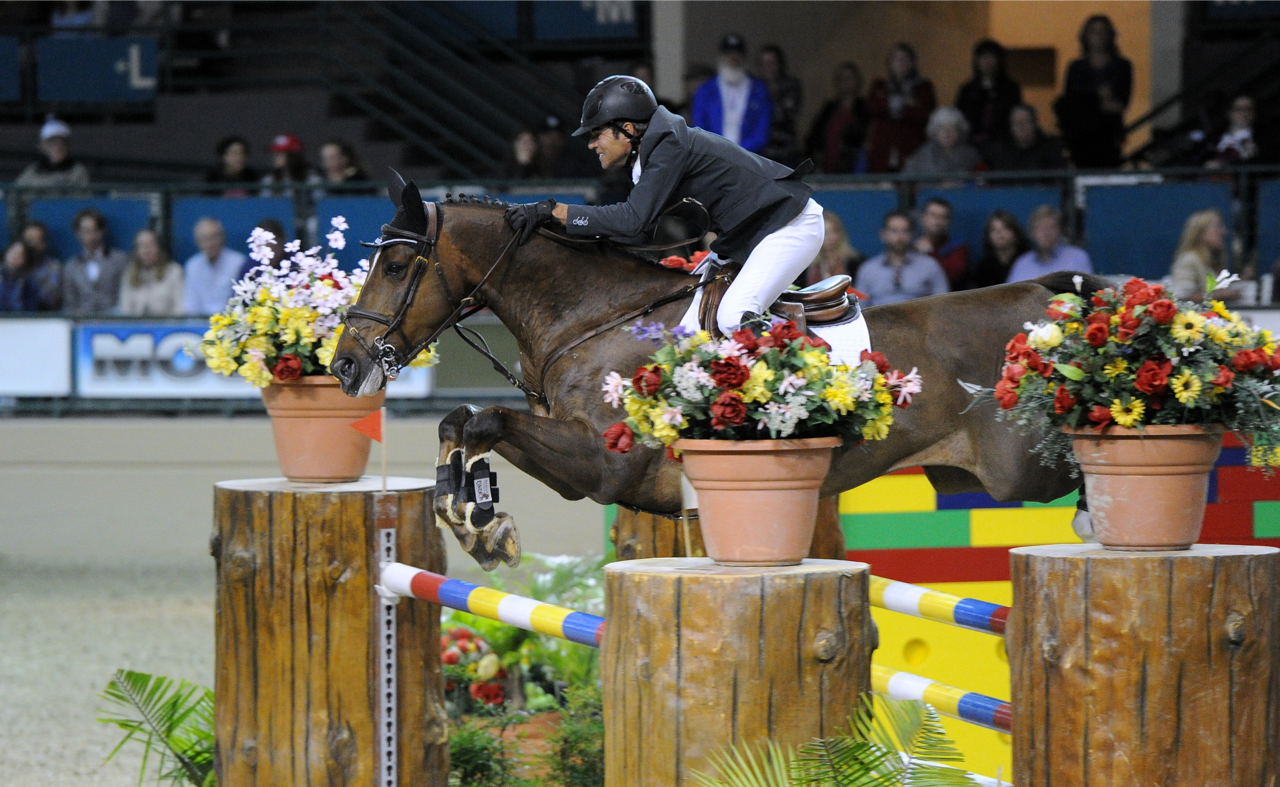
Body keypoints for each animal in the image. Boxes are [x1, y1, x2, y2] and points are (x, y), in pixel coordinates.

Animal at [330, 182, 1090, 573]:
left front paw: (482, 522)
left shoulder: (604, 466)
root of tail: (1041, 296)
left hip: (1020, 470)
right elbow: (459, 421)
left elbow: (484, 419)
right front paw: (472, 518)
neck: (593, 315)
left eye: (394, 266)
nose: (345, 364)